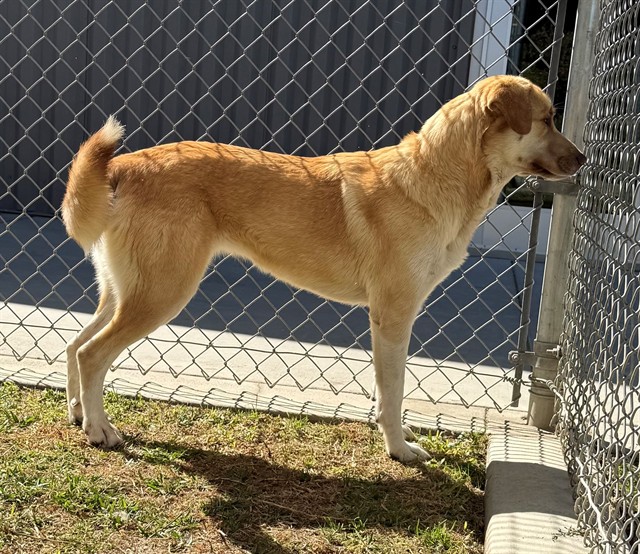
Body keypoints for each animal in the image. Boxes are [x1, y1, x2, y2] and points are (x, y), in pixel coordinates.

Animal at [62, 75, 586, 461]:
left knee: (75, 345)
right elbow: (394, 395)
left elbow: (384, 392)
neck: (437, 177)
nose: (584, 160)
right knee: (92, 354)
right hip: (161, 294)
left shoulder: (386, 320)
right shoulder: (394, 315)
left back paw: (79, 413)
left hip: (123, 293)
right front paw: (400, 450)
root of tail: (123, 165)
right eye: (546, 119)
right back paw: (100, 430)